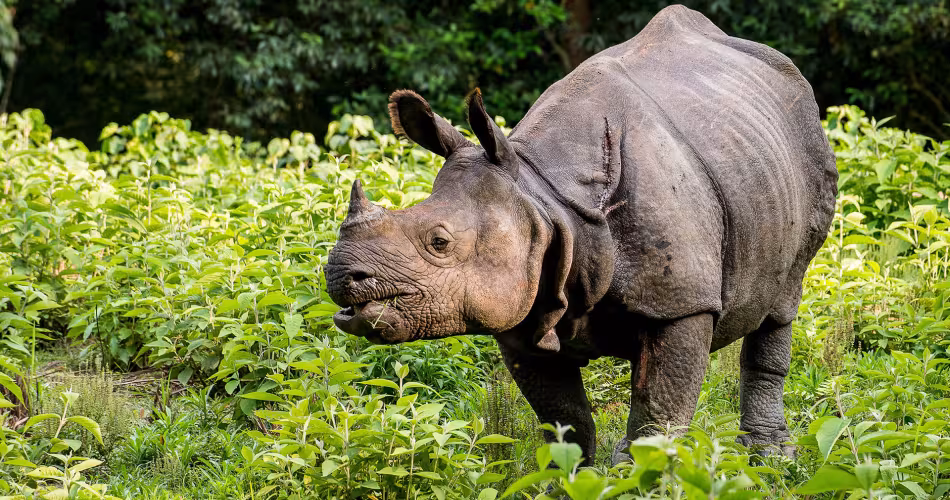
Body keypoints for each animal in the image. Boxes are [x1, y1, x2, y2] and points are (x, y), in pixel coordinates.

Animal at [325, 4, 837, 463]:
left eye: (440, 242)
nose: (340, 276)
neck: (544, 196)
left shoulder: (683, 301)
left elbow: (660, 406)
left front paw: (639, 478)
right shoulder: (526, 309)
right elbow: (565, 419)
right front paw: (572, 477)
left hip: (805, 142)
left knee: (783, 299)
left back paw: (771, 457)